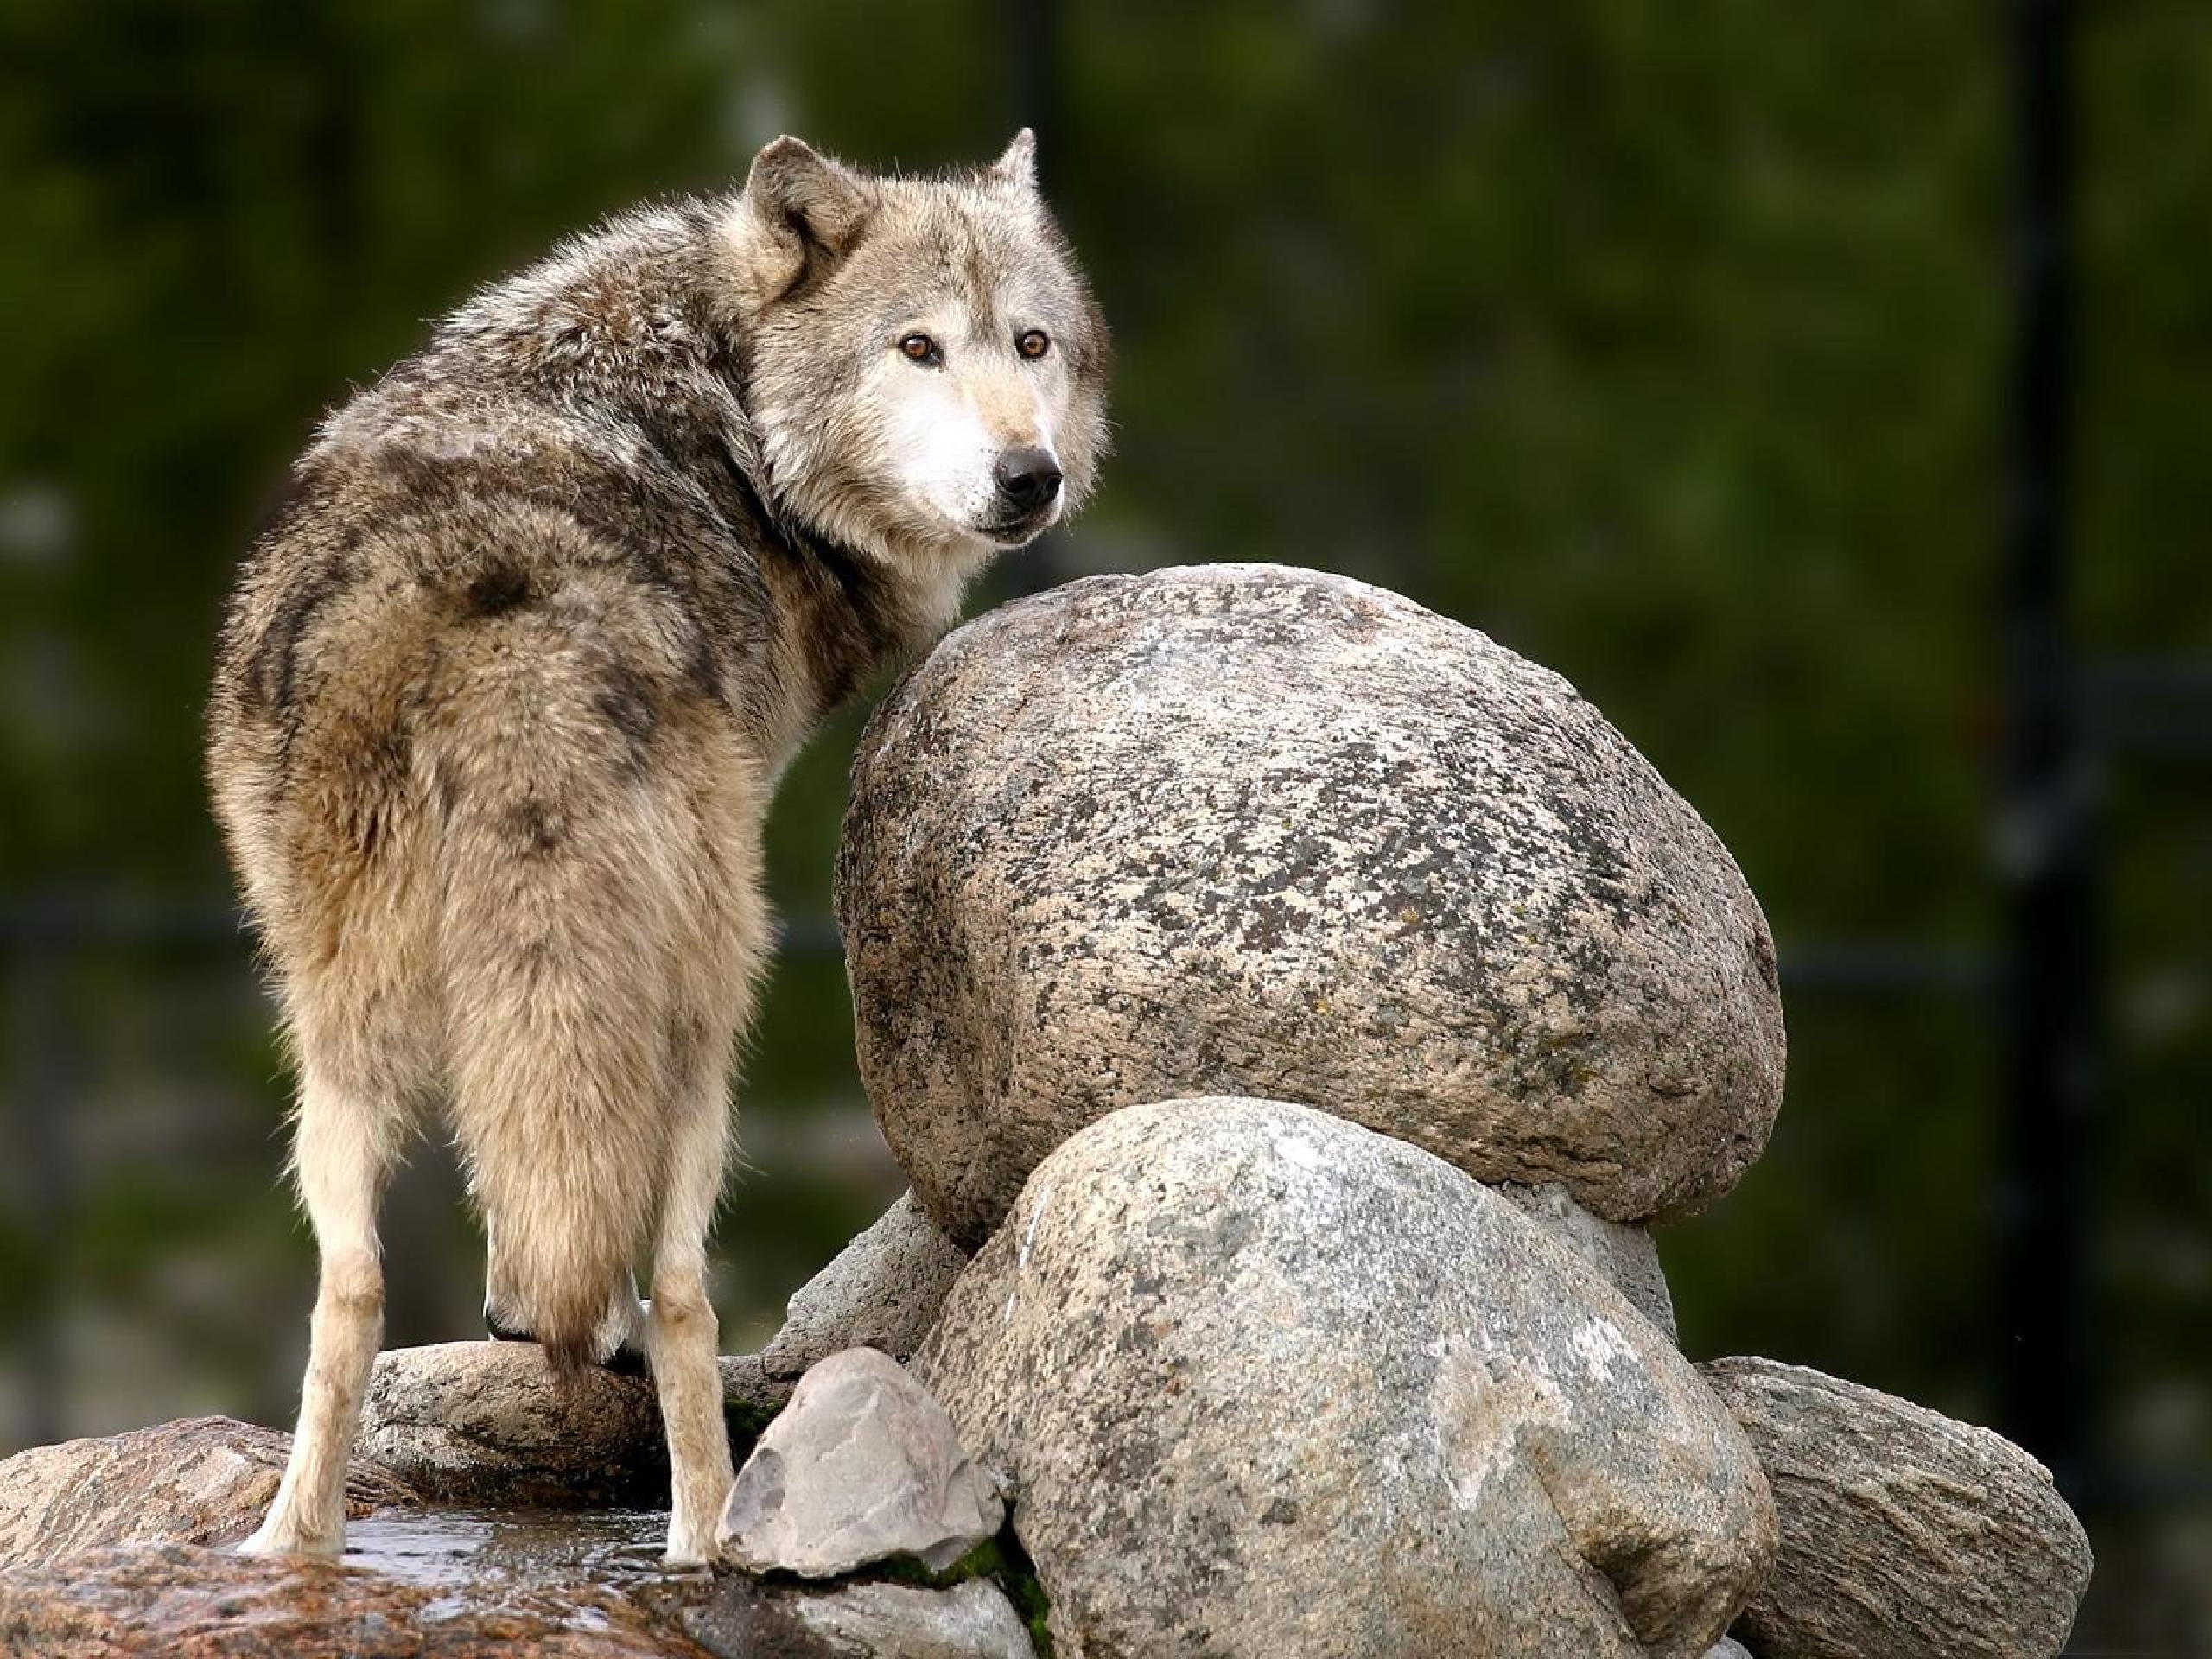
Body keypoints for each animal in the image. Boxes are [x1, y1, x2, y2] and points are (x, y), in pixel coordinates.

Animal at [203, 133, 1106, 1574]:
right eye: (916, 347)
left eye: (1032, 342)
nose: (1030, 476)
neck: (729, 395)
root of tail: (514, 611)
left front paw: (524, 1313)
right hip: (708, 1013)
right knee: (684, 1289)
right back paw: (704, 1542)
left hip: (333, 1039)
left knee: (351, 1293)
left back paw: (289, 1549)